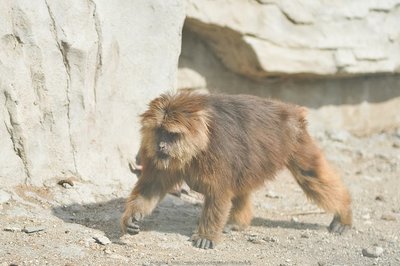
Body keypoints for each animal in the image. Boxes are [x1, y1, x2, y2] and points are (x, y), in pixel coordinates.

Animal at [120, 91, 352, 249]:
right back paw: (237, 223)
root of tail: (289, 110)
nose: (160, 146)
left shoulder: (217, 150)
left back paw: (344, 214)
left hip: (295, 139)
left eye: (171, 134)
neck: (199, 143)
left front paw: (206, 235)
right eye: (159, 131)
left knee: (311, 176)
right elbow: (151, 188)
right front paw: (132, 217)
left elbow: (218, 192)